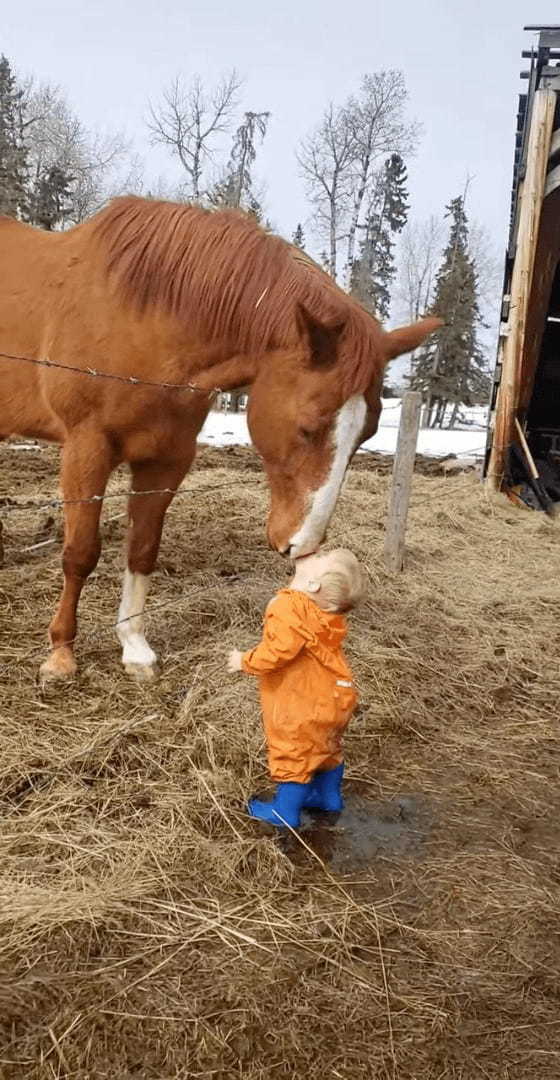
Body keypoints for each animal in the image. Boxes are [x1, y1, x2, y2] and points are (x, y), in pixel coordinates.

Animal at [0, 195, 440, 678]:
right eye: (307, 426)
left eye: (368, 433)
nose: (301, 546)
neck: (140, 320)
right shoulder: (86, 450)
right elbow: (80, 552)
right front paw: (61, 653)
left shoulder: (167, 460)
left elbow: (142, 549)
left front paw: (134, 647)